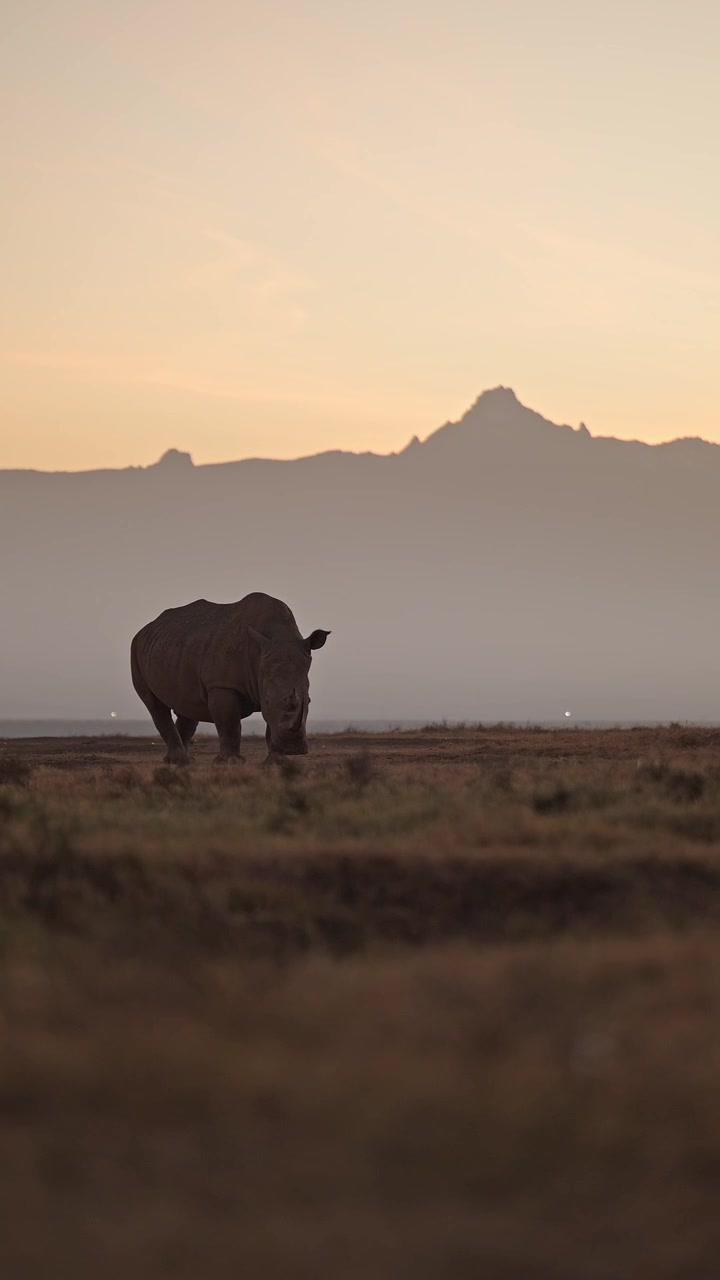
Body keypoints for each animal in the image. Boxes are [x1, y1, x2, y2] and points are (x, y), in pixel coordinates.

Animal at [130, 592, 330, 764]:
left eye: (309, 702)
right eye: (266, 701)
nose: (293, 749)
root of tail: (146, 628)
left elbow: (269, 725)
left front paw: (278, 762)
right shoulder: (222, 685)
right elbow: (230, 724)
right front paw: (230, 762)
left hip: (175, 648)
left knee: (187, 706)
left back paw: (179, 762)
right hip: (135, 648)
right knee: (155, 705)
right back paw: (181, 760)